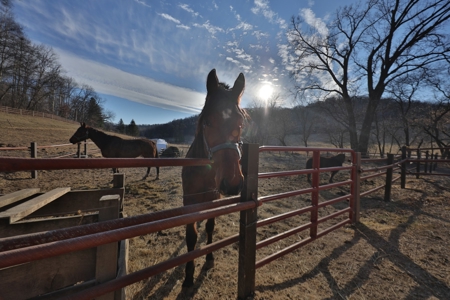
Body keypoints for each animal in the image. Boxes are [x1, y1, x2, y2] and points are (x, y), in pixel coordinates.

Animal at [181, 69, 248, 288]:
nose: (232, 182)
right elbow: (191, 236)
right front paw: (188, 275)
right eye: (208, 122)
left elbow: (210, 227)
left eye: (240, 123)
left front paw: (209, 258)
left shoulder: (214, 199)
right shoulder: (189, 203)